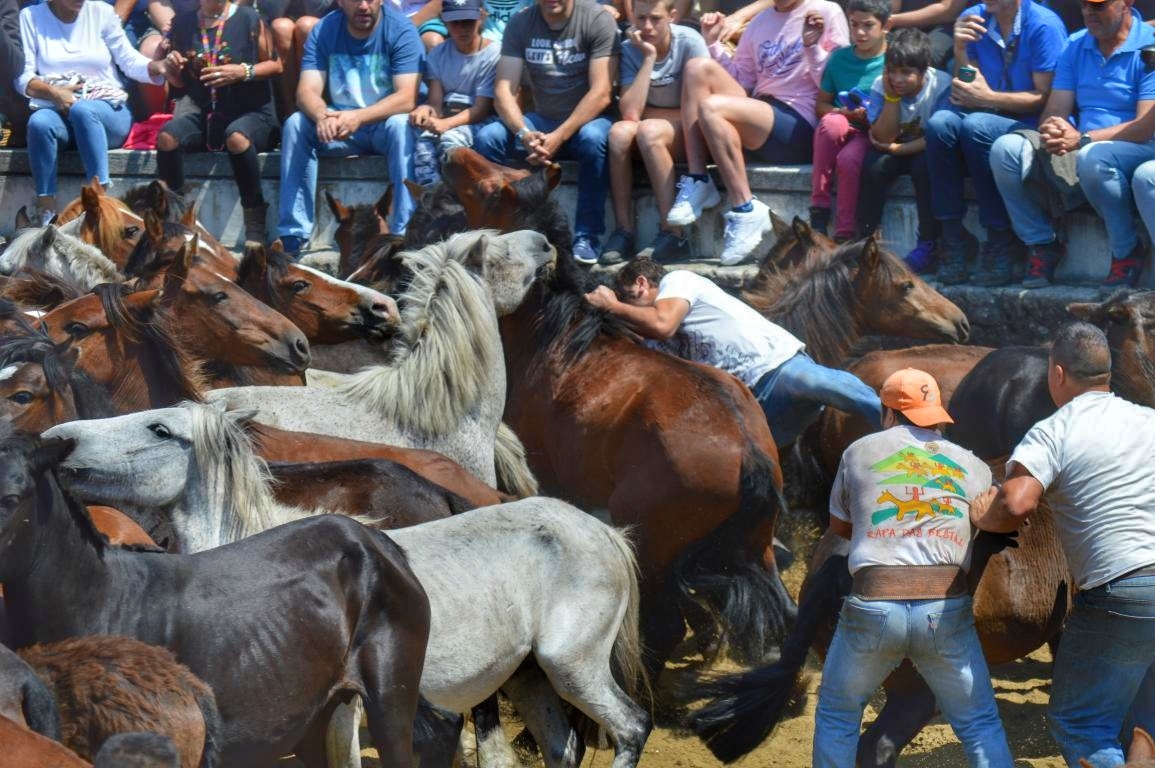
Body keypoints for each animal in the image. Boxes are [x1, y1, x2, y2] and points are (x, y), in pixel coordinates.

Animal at [45, 401, 656, 766]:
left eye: (160, 428)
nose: (56, 439)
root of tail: (603, 532)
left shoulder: (345, 716)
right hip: (531, 678)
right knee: (564, 748)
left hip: (572, 667)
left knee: (631, 727)